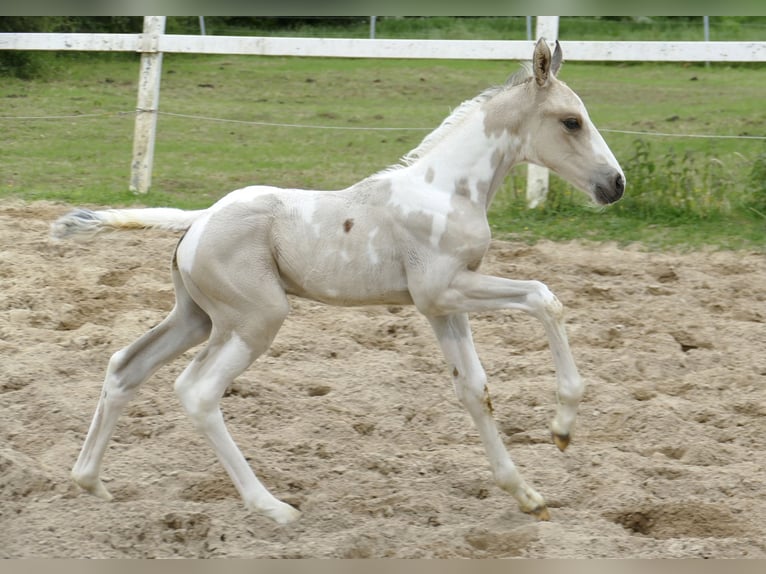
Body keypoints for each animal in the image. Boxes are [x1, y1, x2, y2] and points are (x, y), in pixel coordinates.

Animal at [51, 39, 624, 524]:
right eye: (571, 121)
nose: (615, 185)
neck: (446, 190)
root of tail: (198, 219)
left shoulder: (442, 306)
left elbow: (474, 389)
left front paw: (527, 495)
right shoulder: (442, 289)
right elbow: (544, 297)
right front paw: (563, 427)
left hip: (197, 318)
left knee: (125, 366)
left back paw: (92, 482)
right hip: (256, 319)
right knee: (197, 391)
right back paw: (273, 507)